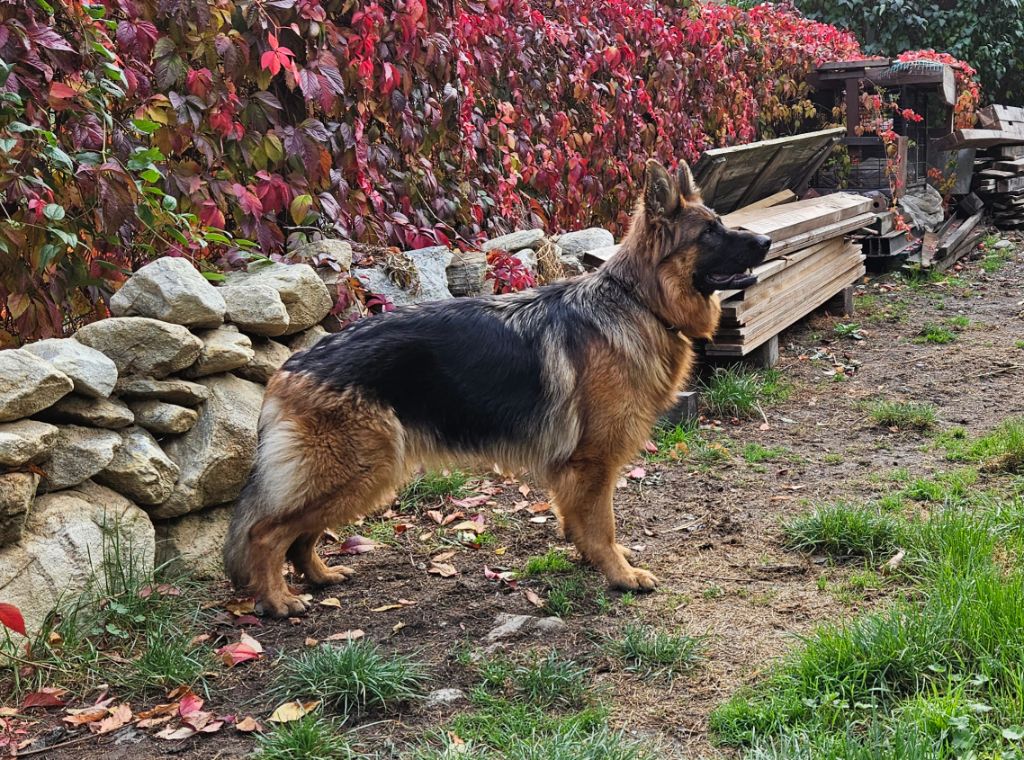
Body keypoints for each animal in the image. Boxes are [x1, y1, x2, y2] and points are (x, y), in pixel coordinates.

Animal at [224, 160, 770, 618]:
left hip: (358, 474)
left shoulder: (576, 469)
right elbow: (603, 524)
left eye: (721, 222)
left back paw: (319, 576)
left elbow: (579, 522)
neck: (639, 301)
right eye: (710, 231)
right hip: (360, 470)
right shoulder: (594, 461)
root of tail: (291, 365)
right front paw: (619, 574)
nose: (765, 241)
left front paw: (591, 559)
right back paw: (279, 600)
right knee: (265, 533)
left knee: (300, 535)